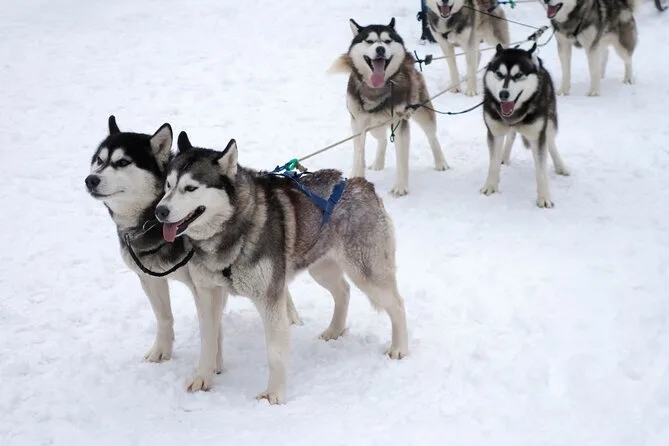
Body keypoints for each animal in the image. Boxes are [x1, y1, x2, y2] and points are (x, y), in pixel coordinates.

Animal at [84, 116, 302, 373]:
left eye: (123, 162)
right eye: (99, 160)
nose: (90, 180)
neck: (150, 221)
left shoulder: (203, 284)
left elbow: (211, 329)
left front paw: (212, 367)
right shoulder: (150, 278)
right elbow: (164, 317)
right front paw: (162, 351)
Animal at [154, 131, 409, 404]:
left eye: (190, 188)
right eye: (168, 186)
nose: (160, 211)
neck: (233, 231)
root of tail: (361, 184)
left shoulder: (270, 299)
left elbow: (275, 352)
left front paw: (273, 395)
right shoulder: (207, 294)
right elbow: (208, 340)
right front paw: (203, 378)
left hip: (367, 273)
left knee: (396, 304)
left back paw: (400, 348)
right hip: (321, 267)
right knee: (343, 291)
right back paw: (335, 330)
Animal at [329, 17, 449, 197]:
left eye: (387, 41)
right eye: (369, 41)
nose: (380, 48)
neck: (376, 90)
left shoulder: (401, 123)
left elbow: (402, 160)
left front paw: (400, 187)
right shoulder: (358, 124)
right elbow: (359, 153)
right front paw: (357, 178)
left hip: (422, 112)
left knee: (431, 136)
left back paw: (441, 162)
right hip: (374, 127)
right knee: (383, 139)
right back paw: (378, 162)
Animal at [480, 45, 570, 208]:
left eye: (518, 75)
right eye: (499, 74)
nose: (503, 94)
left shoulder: (537, 136)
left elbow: (541, 171)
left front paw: (544, 197)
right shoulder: (494, 132)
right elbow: (493, 164)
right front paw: (490, 186)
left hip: (550, 122)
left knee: (551, 143)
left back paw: (560, 166)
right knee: (511, 135)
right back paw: (504, 156)